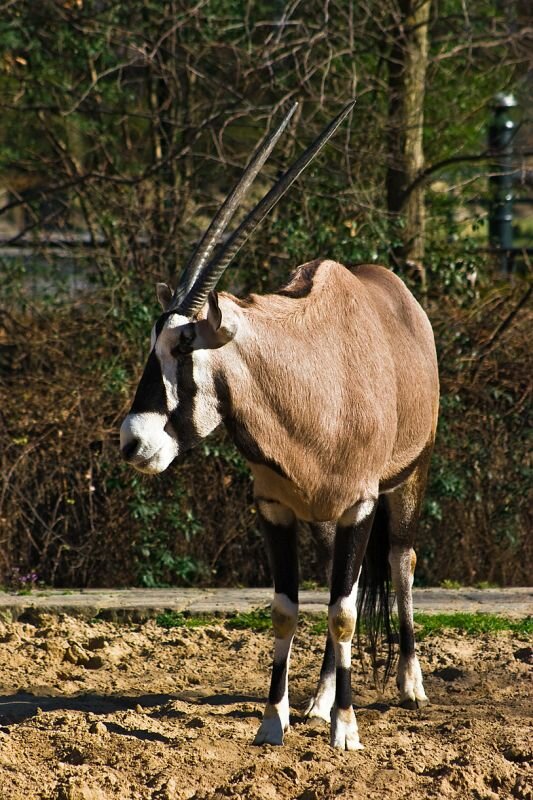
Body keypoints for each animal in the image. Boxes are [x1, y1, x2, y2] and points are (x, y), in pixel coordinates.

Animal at [121, 103, 440, 752]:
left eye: (183, 348)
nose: (131, 441)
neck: (312, 379)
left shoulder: (361, 505)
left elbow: (344, 610)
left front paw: (347, 729)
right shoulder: (275, 508)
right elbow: (288, 608)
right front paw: (276, 720)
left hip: (407, 481)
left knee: (401, 563)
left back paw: (408, 684)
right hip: (321, 517)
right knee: (339, 587)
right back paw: (319, 699)